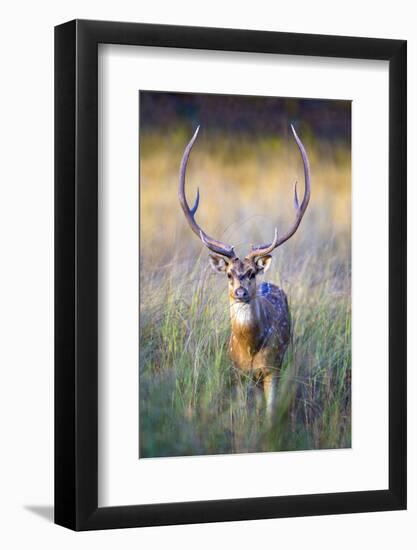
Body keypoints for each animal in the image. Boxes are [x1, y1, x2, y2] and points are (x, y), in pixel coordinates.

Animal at [177, 124, 310, 418]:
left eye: (251, 272)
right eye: (229, 274)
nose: (240, 291)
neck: (249, 348)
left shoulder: (272, 367)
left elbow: (270, 412)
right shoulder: (236, 370)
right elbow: (241, 411)